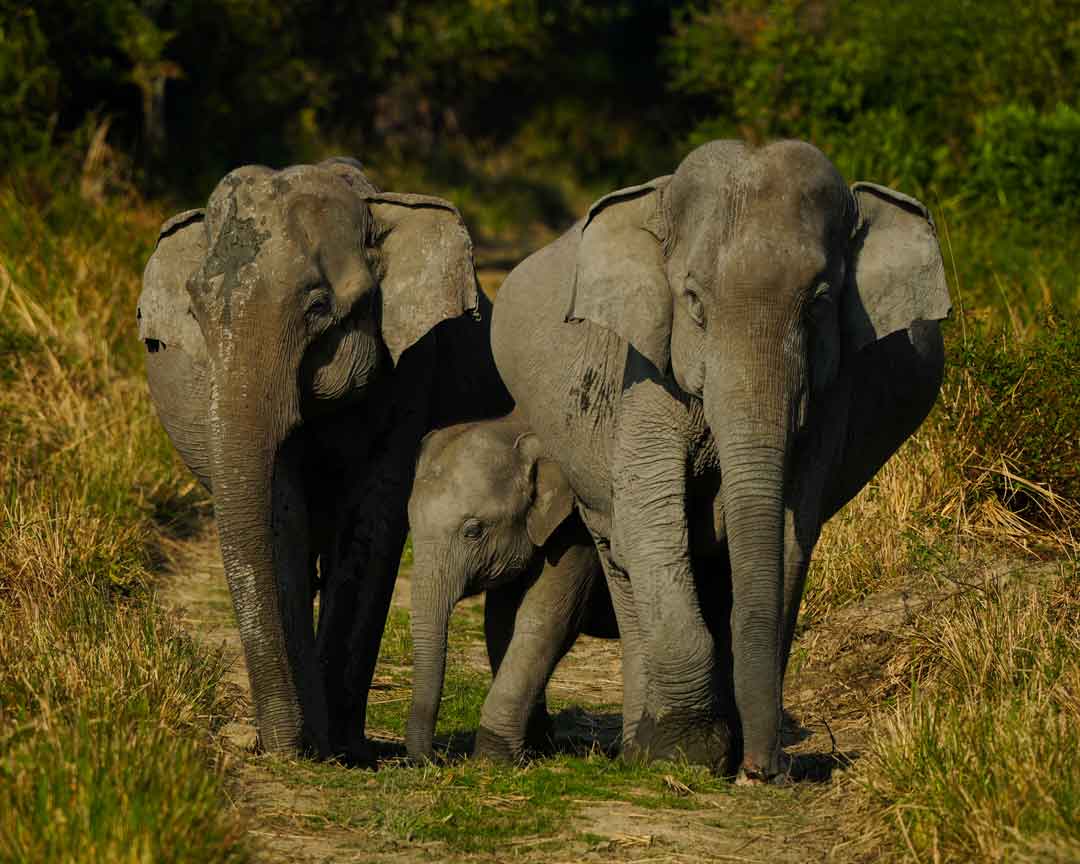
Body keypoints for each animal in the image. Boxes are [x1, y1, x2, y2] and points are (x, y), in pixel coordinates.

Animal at [136, 158, 514, 760]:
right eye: (195, 313)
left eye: (318, 308)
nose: (274, 746)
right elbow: (280, 513)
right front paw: (308, 742)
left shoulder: (415, 363)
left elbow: (377, 514)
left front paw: (337, 745)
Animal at [403, 412, 617, 764]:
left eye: (473, 531)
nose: (433, 759)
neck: (515, 424)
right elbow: (500, 623)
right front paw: (537, 748)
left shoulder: (577, 531)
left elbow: (546, 620)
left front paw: (493, 760)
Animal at [492, 138, 954, 777]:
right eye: (693, 301)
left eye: (820, 303)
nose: (763, 769)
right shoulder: (645, 368)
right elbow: (653, 524)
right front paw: (685, 752)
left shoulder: (830, 395)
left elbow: (788, 534)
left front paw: (730, 753)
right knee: (621, 553)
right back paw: (640, 747)